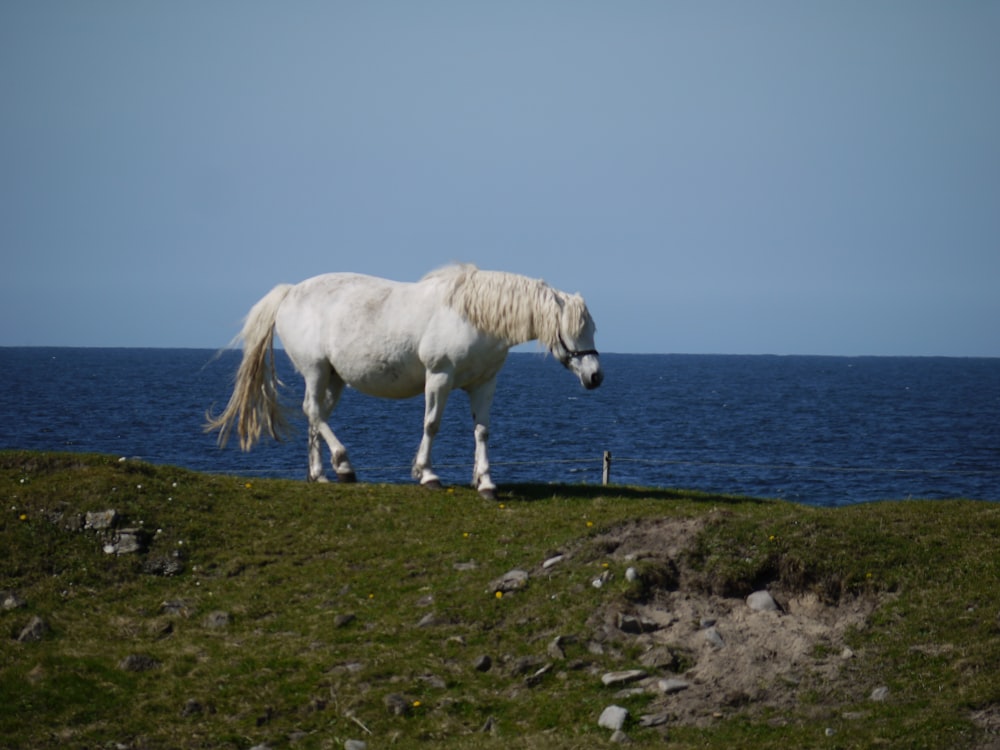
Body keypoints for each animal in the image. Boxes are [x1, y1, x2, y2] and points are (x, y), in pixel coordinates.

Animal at [205, 264, 600, 500]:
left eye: (592, 328)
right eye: (573, 329)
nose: (596, 375)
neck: (473, 317)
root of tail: (289, 292)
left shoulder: (484, 384)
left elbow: (482, 431)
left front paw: (485, 482)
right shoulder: (439, 377)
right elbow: (432, 424)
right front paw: (426, 474)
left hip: (334, 378)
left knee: (316, 416)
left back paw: (319, 473)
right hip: (315, 370)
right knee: (313, 413)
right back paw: (344, 465)